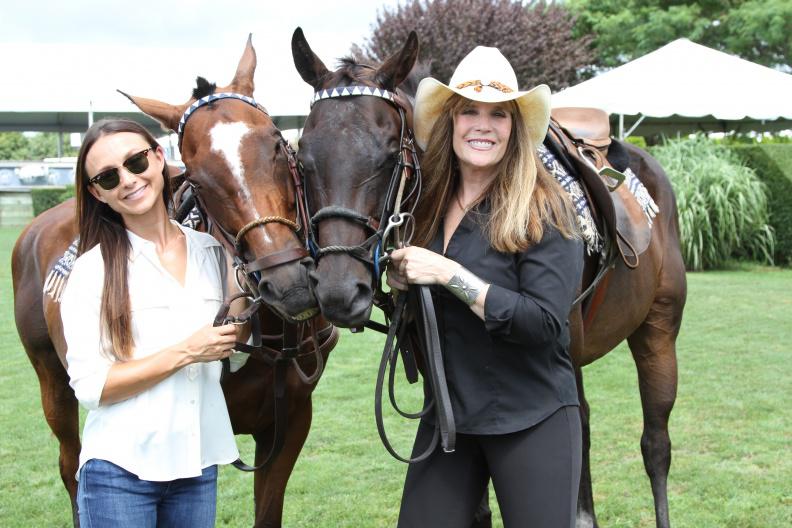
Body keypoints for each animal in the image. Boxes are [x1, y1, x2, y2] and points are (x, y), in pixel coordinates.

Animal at [11, 36, 338, 524]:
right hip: (52, 379)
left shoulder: (291, 421)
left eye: (280, 145)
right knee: (71, 465)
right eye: (198, 178)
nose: (289, 284)